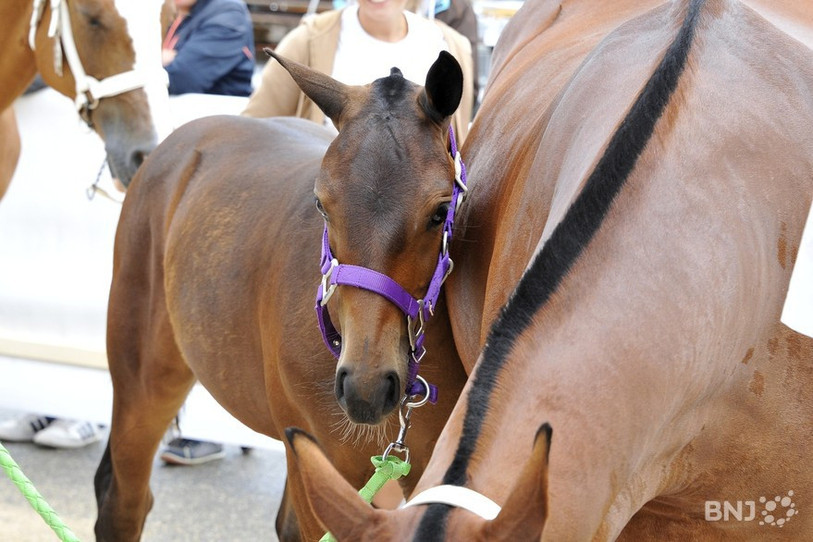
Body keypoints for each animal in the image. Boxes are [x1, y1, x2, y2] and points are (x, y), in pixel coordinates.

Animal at [94, 52, 470, 541]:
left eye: (440, 211)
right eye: (322, 204)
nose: (366, 386)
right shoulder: (324, 467)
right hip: (144, 382)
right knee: (124, 503)